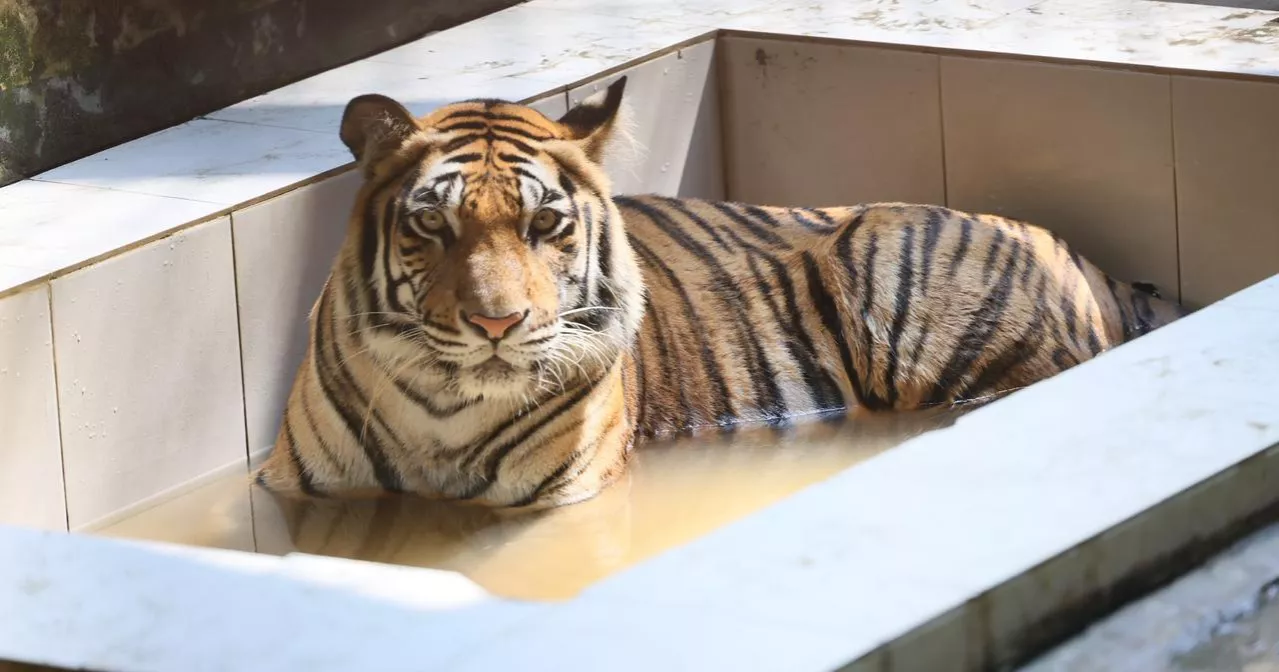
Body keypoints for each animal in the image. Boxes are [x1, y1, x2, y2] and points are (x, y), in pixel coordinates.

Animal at [253, 75, 1190, 509]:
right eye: (432, 225)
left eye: (544, 225)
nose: (495, 323)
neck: (444, 417)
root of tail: (1086, 262)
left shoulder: (567, 502)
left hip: (893, 262)